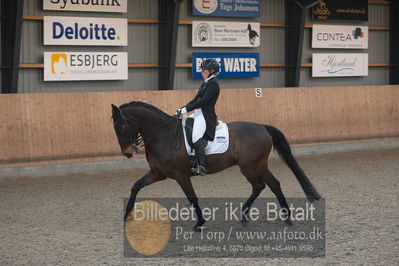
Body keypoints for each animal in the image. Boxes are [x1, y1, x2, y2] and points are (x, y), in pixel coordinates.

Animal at [111, 102, 322, 231]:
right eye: (115, 128)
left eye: (122, 126)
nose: (127, 152)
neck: (163, 135)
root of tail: (263, 126)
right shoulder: (158, 173)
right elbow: (136, 186)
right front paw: (126, 214)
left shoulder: (180, 175)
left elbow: (192, 197)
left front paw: (199, 223)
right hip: (258, 165)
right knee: (272, 184)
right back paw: (282, 217)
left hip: (250, 166)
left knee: (261, 185)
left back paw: (256, 216)